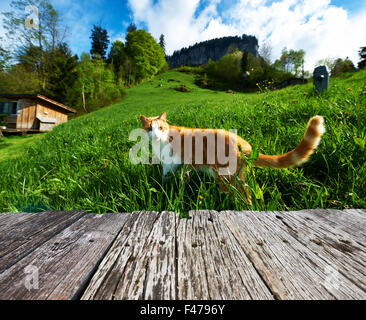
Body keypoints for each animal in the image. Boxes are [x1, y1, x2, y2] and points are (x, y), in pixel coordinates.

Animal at [141, 111, 326, 204]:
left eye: (160, 128)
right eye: (150, 128)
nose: (155, 135)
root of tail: (244, 144)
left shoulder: (171, 163)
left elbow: (165, 177)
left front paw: (165, 189)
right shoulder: (185, 166)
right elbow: (183, 177)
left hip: (226, 178)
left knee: (243, 197)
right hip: (236, 176)